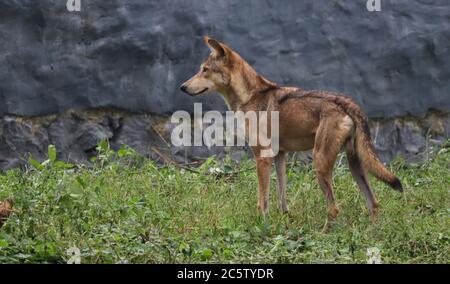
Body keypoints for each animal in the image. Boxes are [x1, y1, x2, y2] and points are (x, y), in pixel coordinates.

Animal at [181, 37, 402, 233]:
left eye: (205, 70)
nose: (182, 87)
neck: (250, 96)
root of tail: (347, 102)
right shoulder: (280, 156)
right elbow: (282, 197)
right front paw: (285, 221)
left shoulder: (262, 157)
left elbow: (262, 201)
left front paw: (263, 227)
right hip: (355, 165)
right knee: (373, 203)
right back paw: (371, 235)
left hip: (320, 164)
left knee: (334, 209)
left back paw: (322, 235)